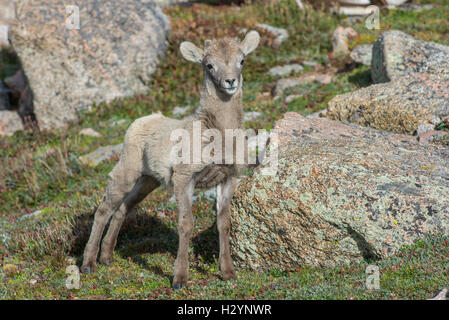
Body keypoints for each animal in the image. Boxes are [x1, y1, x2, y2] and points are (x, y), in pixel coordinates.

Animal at [82, 31, 260, 288]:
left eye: (242, 60)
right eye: (209, 65)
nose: (230, 82)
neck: (217, 136)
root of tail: (140, 121)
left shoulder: (227, 179)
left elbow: (224, 223)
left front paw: (228, 273)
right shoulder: (185, 179)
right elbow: (186, 224)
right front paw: (179, 279)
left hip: (148, 181)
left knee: (123, 208)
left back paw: (106, 257)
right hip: (127, 172)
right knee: (104, 209)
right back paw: (88, 265)